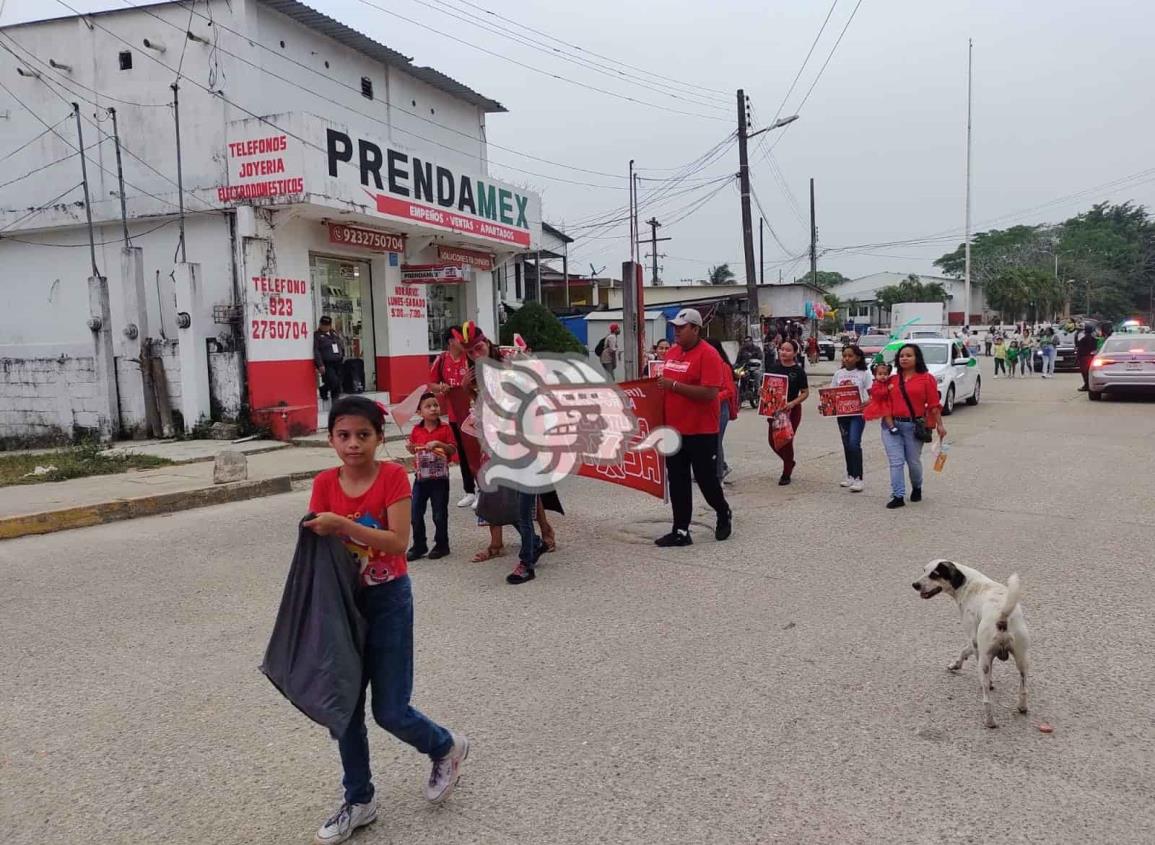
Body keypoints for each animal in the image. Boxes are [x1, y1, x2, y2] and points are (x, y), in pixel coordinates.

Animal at [914, 558, 1034, 729]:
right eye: (924, 570)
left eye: (935, 574)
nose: (915, 585)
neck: (968, 583)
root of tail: (1002, 617)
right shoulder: (976, 642)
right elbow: (965, 651)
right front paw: (956, 664)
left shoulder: (974, 639)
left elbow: (965, 650)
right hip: (1022, 659)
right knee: (1023, 689)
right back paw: (1022, 707)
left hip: (984, 662)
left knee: (987, 700)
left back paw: (989, 721)